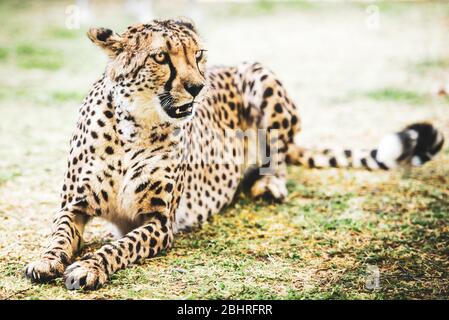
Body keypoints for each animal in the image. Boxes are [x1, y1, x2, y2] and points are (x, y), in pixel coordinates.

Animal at [25, 18, 444, 292]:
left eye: (199, 55)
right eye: (161, 57)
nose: (198, 87)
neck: (134, 126)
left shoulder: (159, 222)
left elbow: (117, 246)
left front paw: (88, 267)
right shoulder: (74, 205)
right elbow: (58, 234)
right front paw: (46, 259)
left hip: (261, 77)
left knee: (279, 156)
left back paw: (267, 184)